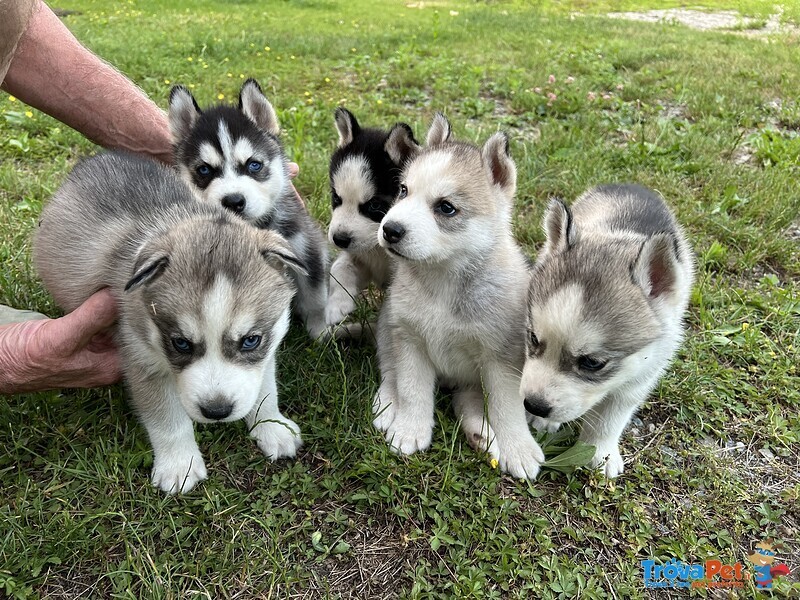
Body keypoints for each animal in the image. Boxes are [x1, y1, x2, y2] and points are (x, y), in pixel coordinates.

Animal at [33, 151, 306, 492]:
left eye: (250, 340)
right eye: (181, 343)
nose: (216, 411)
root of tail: (97, 157)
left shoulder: (267, 349)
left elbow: (265, 390)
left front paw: (272, 426)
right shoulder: (140, 358)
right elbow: (168, 419)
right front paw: (180, 465)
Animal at [169, 79, 332, 340]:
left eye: (254, 165)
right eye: (204, 170)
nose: (234, 201)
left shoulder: (307, 248)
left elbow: (315, 299)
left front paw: (321, 335)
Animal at [324, 108, 416, 328]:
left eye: (374, 205)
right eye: (336, 198)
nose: (339, 239)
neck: (379, 250)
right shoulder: (361, 257)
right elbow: (339, 267)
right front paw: (336, 305)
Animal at [372, 112, 548, 478]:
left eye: (446, 208)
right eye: (403, 190)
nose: (389, 229)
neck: (443, 280)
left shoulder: (502, 359)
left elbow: (506, 405)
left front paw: (518, 447)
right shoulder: (410, 339)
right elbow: (412, 388)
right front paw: (409, 428)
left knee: (468, 401)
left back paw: (481, 433)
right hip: (387, 325)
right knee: (390, 369)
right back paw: (388, 403)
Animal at [520, 185, 692, 476]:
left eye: (592, 363)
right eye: (533, 337)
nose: (533, 405)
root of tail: (635, 186)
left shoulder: (638, 380)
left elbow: (608, 420)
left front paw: (601, 454)